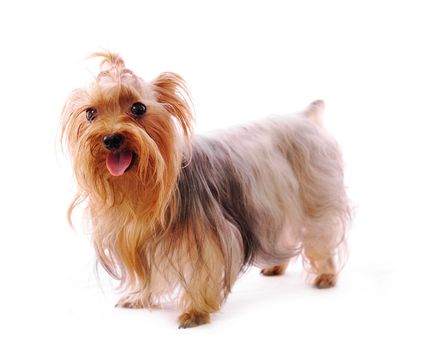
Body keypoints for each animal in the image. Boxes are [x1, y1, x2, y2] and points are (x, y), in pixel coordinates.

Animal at [61, 52, 352, 328]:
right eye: (90, 113)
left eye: (139, 108)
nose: (111, 138)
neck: (141, 188)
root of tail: (304, 117)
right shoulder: (140, 237)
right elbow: (149, 273)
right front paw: (140, 297)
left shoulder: (209, 238)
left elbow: (204, 271)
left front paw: (195, 312)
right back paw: (276, 265)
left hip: (315, 192)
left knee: (321, 232)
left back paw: (325, 275)